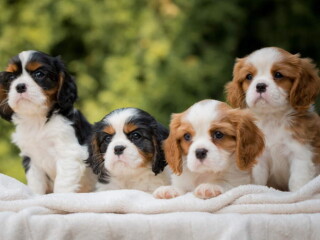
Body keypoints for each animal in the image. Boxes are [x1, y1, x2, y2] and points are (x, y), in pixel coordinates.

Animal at [0, 49, 95, 194]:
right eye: (11, 78)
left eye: (39, 74)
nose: (20, 86)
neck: (37, 120)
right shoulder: (32, 159)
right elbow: (36, 184)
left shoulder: (68, 153)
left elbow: (62, 184)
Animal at [225, 47, 320, 191]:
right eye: (249, 77)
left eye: (278, 75)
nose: (260, 86)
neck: (272, 118)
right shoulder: (259, 159)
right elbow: (257, 181)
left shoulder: (300, 155)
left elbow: (297, 182)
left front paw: (298, 193)